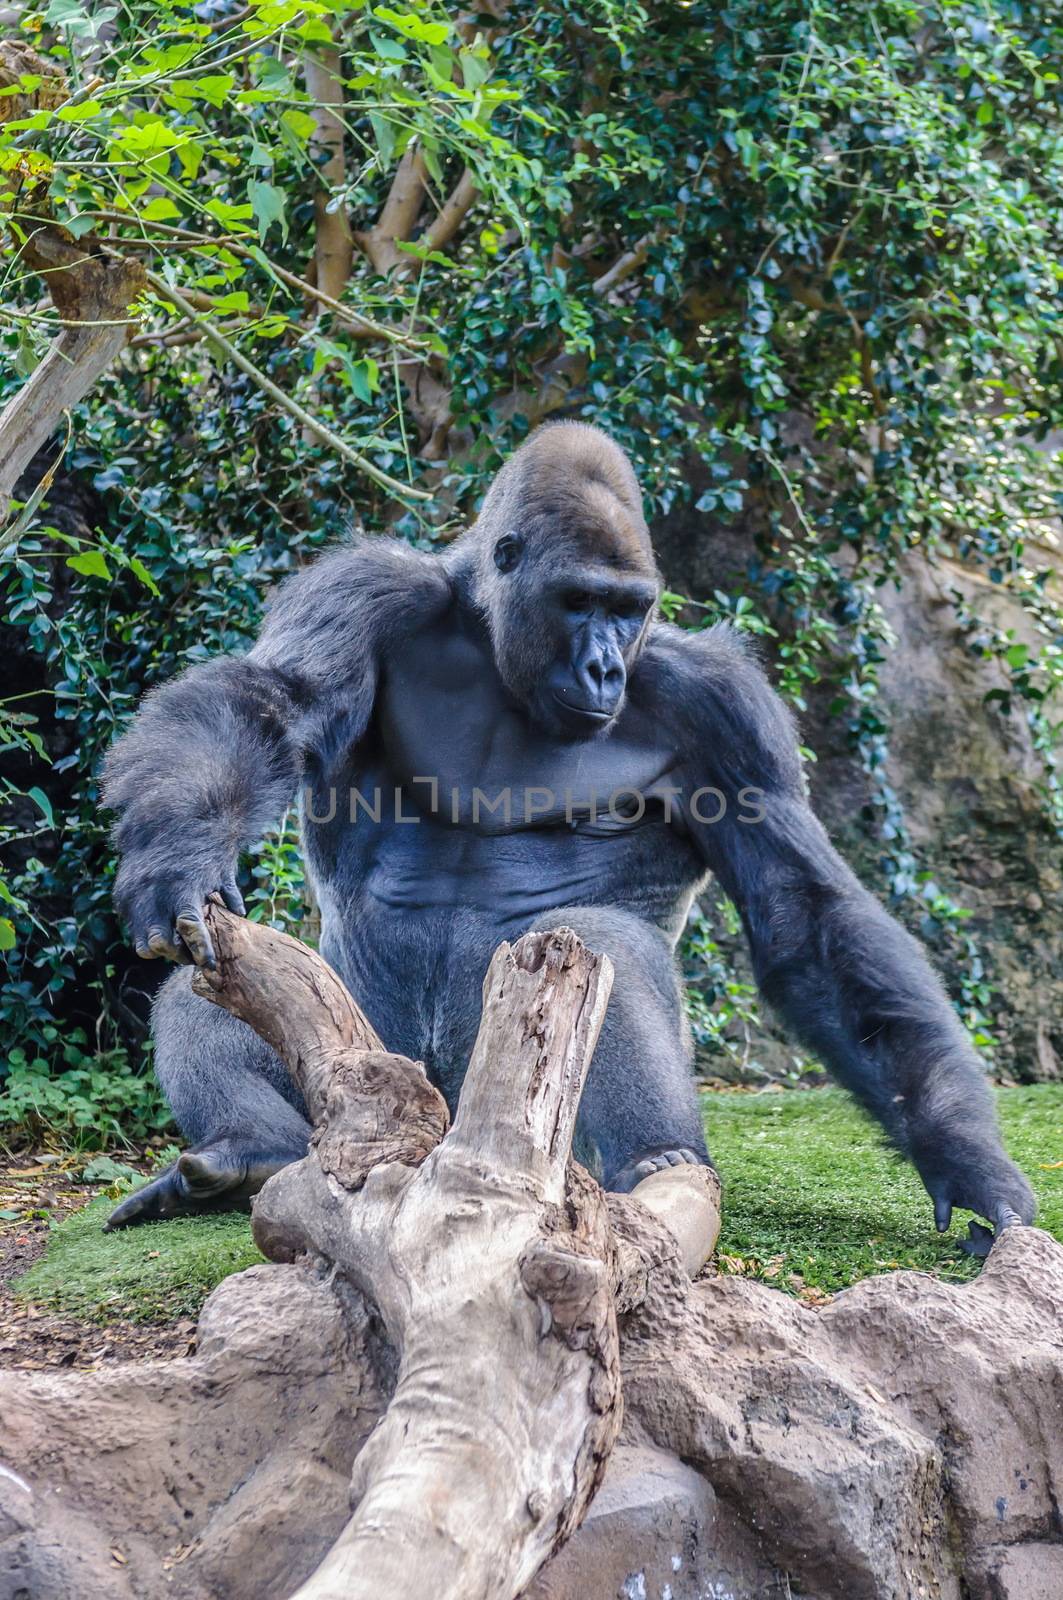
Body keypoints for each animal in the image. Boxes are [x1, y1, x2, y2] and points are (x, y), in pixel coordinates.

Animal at [99, 422, 1030, 1235]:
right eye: (580, 601)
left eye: (628, 608)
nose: (605, 666)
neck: (494, 641)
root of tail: (444, 1125)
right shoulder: (363, 593)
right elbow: (270, 703)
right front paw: (176, 861)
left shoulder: (724, 706)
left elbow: (801, 915)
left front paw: (965, 1157)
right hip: (376, 1075)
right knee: (216, 990)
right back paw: (250, 1150)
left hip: (531, 1127)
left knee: (600, 941)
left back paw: (660, 1163)